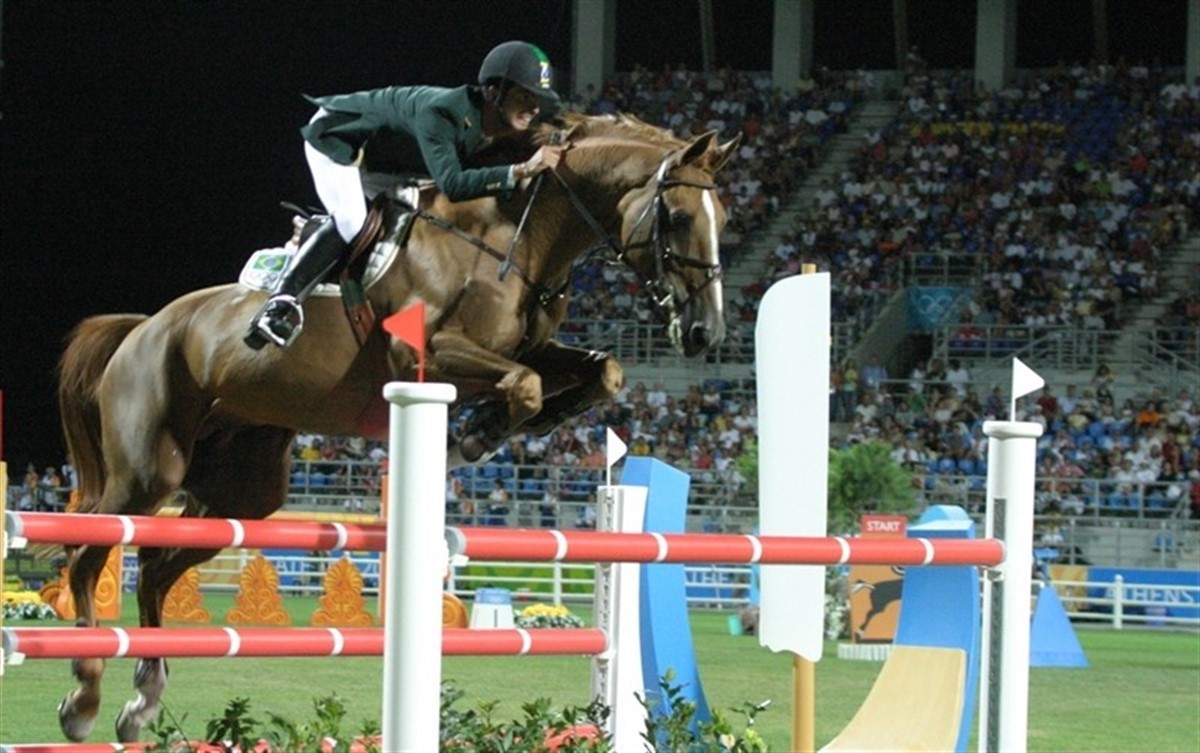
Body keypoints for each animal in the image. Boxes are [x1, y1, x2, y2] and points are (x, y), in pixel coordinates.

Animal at [53, 111, 740, 742]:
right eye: (679, 217)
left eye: (726, 220)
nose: (704, 333)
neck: (511, 239)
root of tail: (144, 327)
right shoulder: (424, 355)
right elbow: (523, 383)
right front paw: (474, 435)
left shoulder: (532, 349)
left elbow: (603, 371)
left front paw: (516, 422)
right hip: (148, 469)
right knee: (90, 555)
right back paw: (84, 697)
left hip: (240, 489)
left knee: (157, 565)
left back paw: (142, 700)